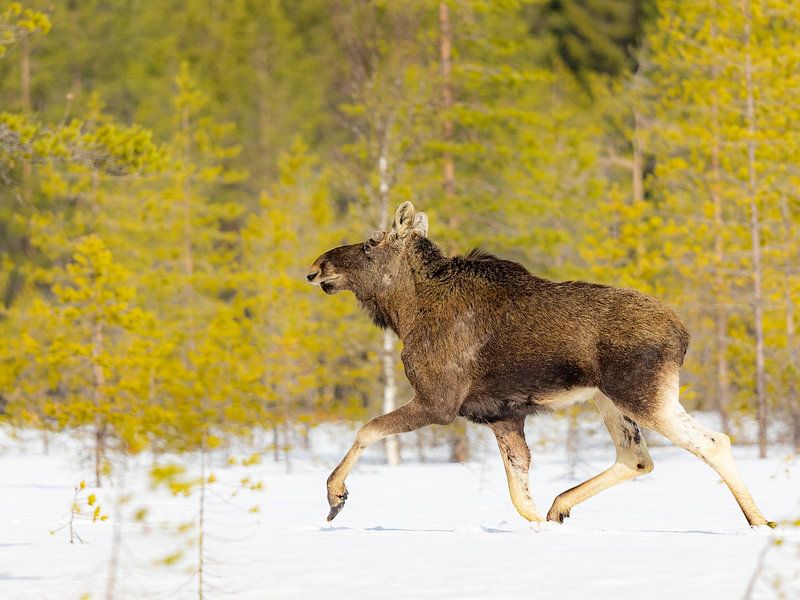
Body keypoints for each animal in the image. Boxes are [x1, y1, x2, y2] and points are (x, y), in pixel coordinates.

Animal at [306, 201, 775, 528]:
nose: (316, 267)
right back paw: (560, 507)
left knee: (714, 442)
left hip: (642, 395)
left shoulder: (438, 402)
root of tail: (684, 336)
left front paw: (335, 497)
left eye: (371, 242)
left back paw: (760, 521)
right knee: (637, 457)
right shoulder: (502, 416)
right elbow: (520, 494)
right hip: (609, 400)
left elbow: (367, 429)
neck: (405, 314)